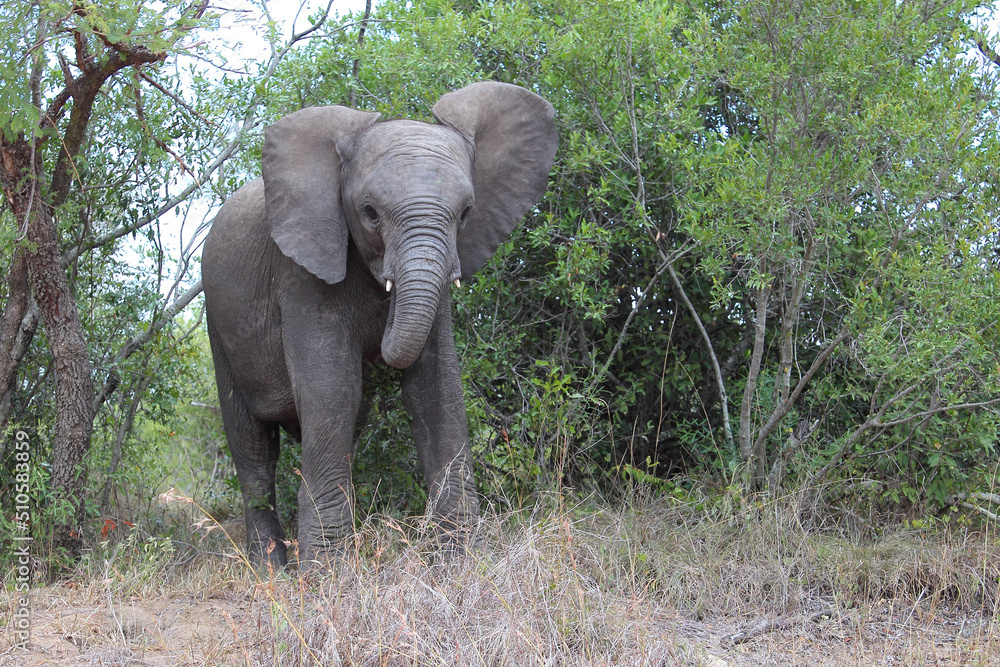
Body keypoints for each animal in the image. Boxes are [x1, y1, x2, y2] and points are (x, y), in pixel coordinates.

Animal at [201, 82, 557, 566]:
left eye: (466, 213)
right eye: (369, 212)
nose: (380, 335)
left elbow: (436, 388)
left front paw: (463, 560)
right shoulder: (300, 270)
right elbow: (333, 388)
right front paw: (327, 572)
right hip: (217, 321)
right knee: (253, 446)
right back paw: (270, 567)